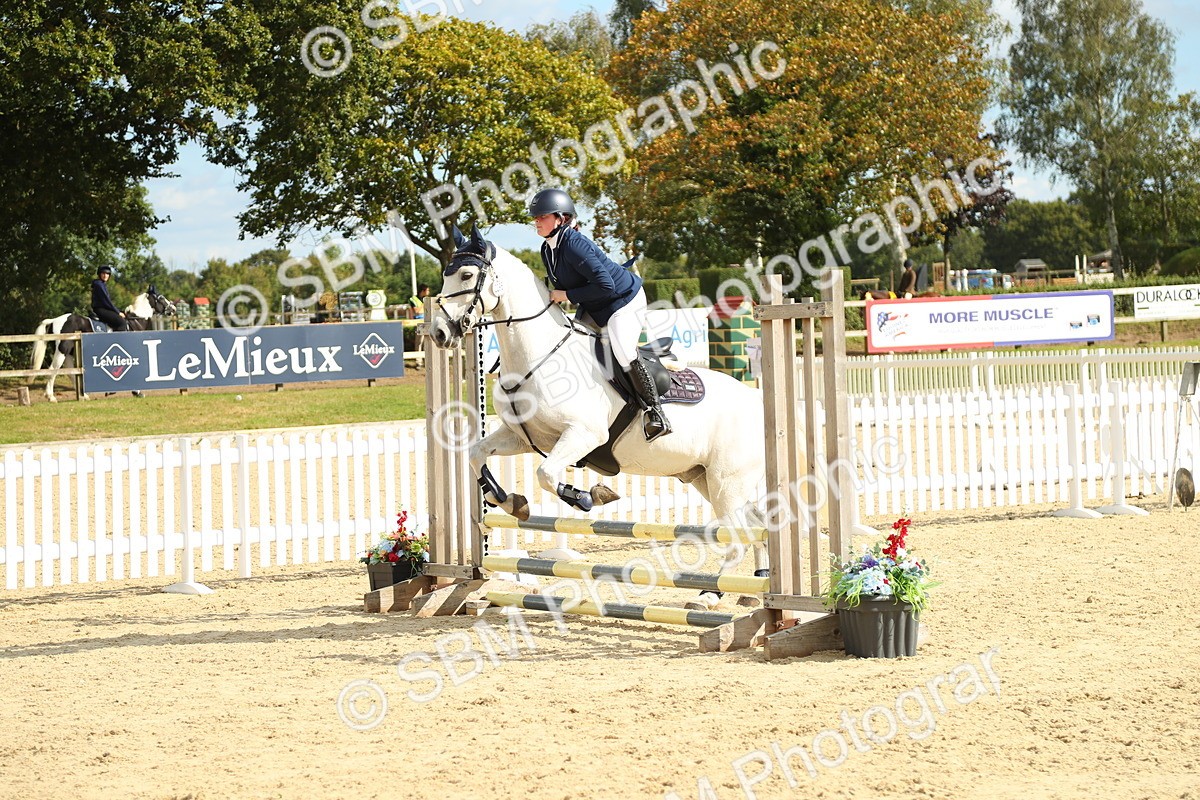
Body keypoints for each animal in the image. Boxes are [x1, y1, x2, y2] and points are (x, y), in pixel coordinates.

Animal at [31, 286, 177, 402]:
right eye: (161, 297)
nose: (173, 308)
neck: (135, 321)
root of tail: (54, 320)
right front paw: (136, 391)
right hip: (62, 349)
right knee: (53, 370)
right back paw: (51, 397)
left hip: (69, 353)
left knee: (70, 372)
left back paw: (84, 396)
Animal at [427, 227, 781, 610]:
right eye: (444, 275)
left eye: (466, 275)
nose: (439, 333)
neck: (539, 356)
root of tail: (755, 400)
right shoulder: (522, 437)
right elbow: (476, 454)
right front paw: (509, 501)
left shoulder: (584, 435)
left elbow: (546, 474)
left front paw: (587, 496)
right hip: (705, 478)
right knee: (756, 525)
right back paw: (754, 584)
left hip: (727, 482)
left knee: (739, 536)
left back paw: (708, 596)